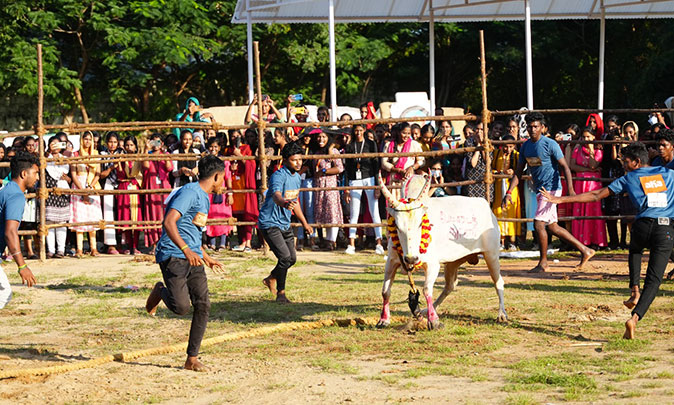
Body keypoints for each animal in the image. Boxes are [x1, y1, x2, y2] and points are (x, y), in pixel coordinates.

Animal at [378, 175, 504, 330]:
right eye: (396, 225)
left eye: (420, 224)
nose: (412, 259)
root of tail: (485, 205)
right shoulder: (391, 262)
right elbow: (385, 291)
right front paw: (384, 319)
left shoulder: (433, 265)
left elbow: (427, 289)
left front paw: (434, 321)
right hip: (452, 262)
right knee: (450, 286)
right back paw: (426, 310)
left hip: (491, 255)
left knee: (498, 282)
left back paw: (502, 314)